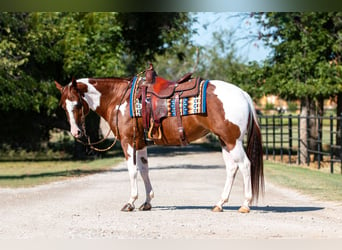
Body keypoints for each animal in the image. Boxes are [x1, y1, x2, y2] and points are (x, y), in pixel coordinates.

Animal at [55, 73, 264, 213]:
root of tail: (242, 93)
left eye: (77, 104)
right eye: (63, 106)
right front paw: (146, 202)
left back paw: (245, 205)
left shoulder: (128, 142)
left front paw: (130, 202)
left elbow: (132, 171)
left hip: (232, 141)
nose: (76, 132)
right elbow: (144, 170)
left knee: (245, 165)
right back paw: (219, 204)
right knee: (232, 168)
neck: (119, 99)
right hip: (225, 140)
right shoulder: (140, 143)